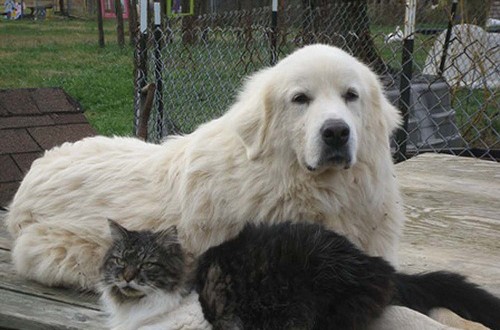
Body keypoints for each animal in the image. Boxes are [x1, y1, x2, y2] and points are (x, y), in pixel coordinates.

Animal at [5, 43, 464, 328]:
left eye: (351, 96)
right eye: (301, 99)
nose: (336, 132)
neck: (308, 187)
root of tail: (35, 168)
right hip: (53, 251)